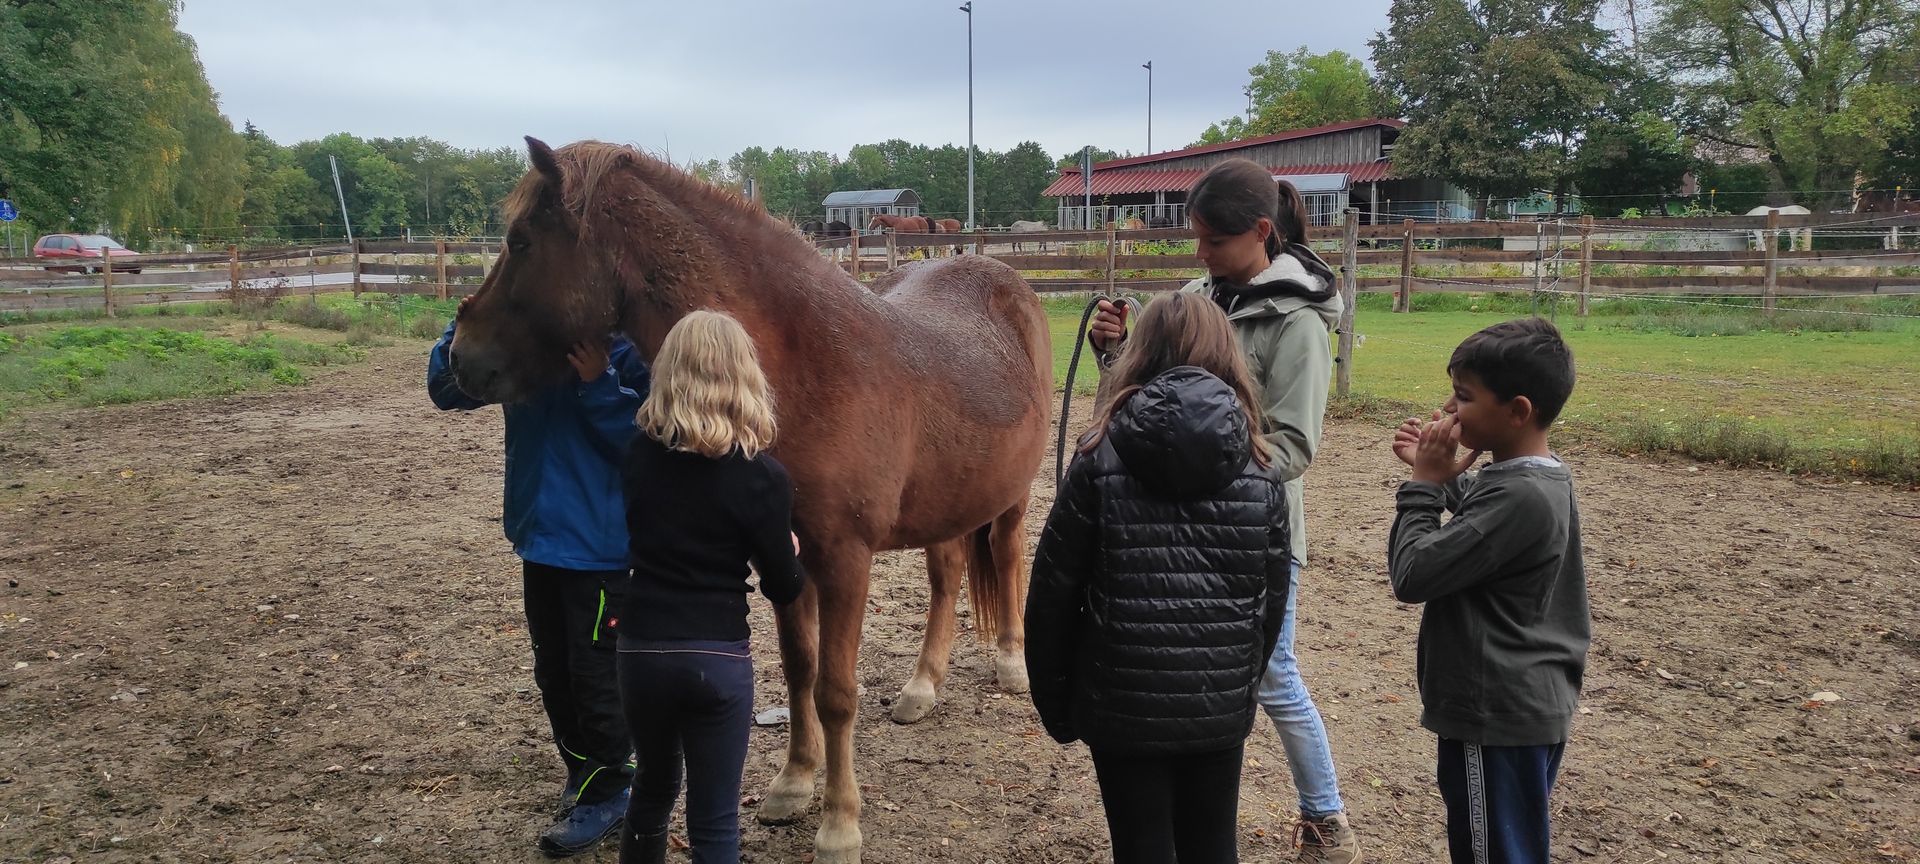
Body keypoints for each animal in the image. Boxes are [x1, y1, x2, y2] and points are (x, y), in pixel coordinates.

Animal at [449, 139, 1051, 864]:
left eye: (520, 240)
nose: (459, 355)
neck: (806, 367)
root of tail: (1005, 278)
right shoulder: (781, 556)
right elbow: (799, 670)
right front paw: (794, 785)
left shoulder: (843, 558)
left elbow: (837, 691)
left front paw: (839, 824)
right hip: (949, 500)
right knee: (948, 574)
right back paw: (922, 686)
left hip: (1011, 494)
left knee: (1009, 557)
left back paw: (1014, 663)